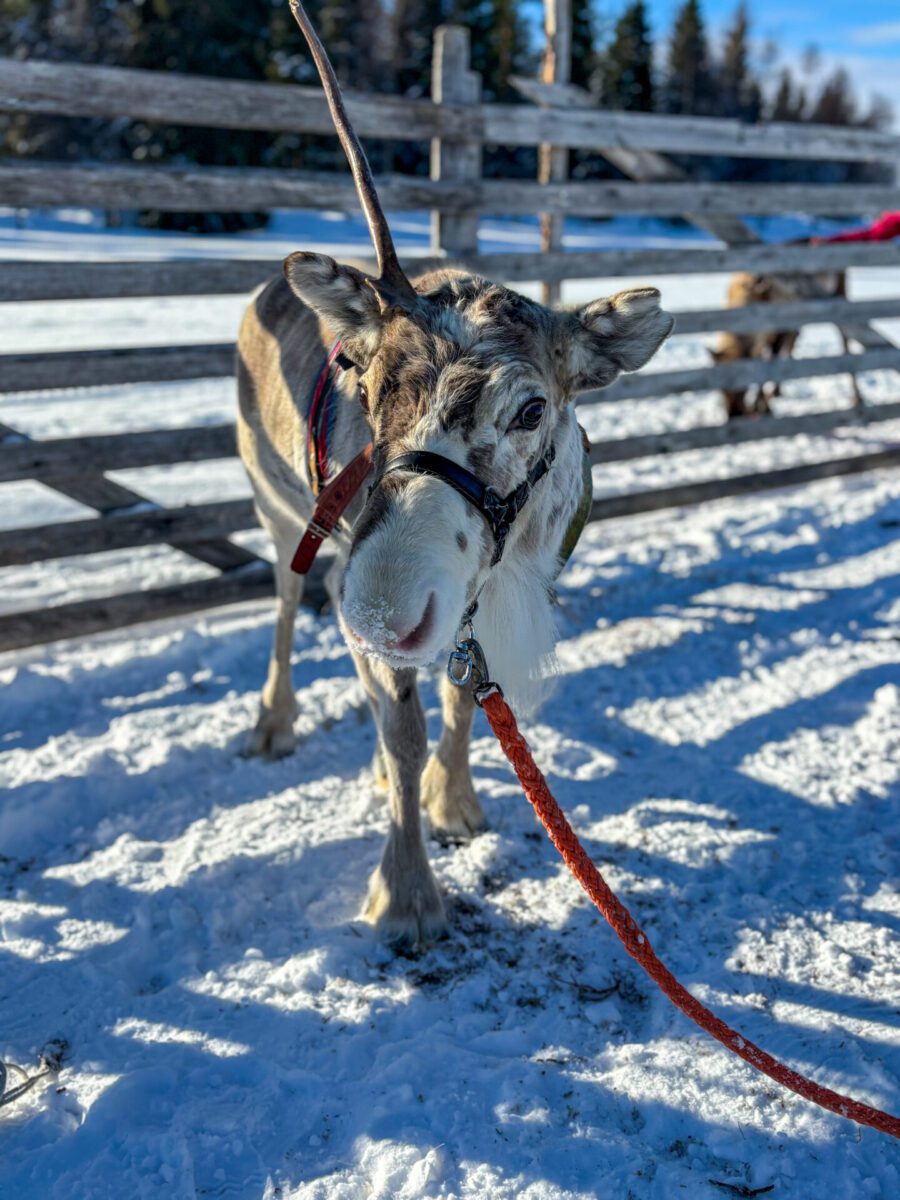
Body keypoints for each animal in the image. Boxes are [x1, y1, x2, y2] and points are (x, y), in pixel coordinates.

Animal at [236, 2, 674, 950]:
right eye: (364, 385)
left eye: (531, 410)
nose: (378, 611)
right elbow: (404, 728)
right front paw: (406, 894)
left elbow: (462, 702)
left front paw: (457, 801)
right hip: (279, 510)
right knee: (285, 608)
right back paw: (273, 722)